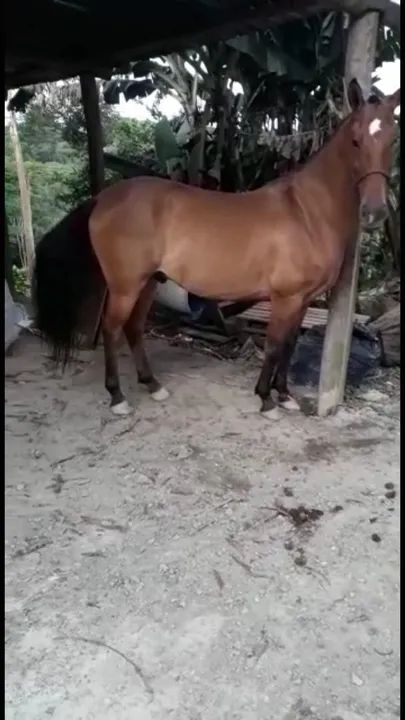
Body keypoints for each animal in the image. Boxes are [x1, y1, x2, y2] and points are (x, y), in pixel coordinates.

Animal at [33, 79, 400, 417]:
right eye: (355, 141)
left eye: (392, 140)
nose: (375, 212)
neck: (307, 210)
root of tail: (102, 198)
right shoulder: (285, 298)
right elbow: (274, 346)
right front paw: (266, 399)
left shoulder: (304, 300)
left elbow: (290, 346)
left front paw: (285, 396)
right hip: (125, 285)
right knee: (111, 329)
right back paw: (117, 397)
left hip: (149, 282)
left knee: (133, 328)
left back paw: (152, 385)